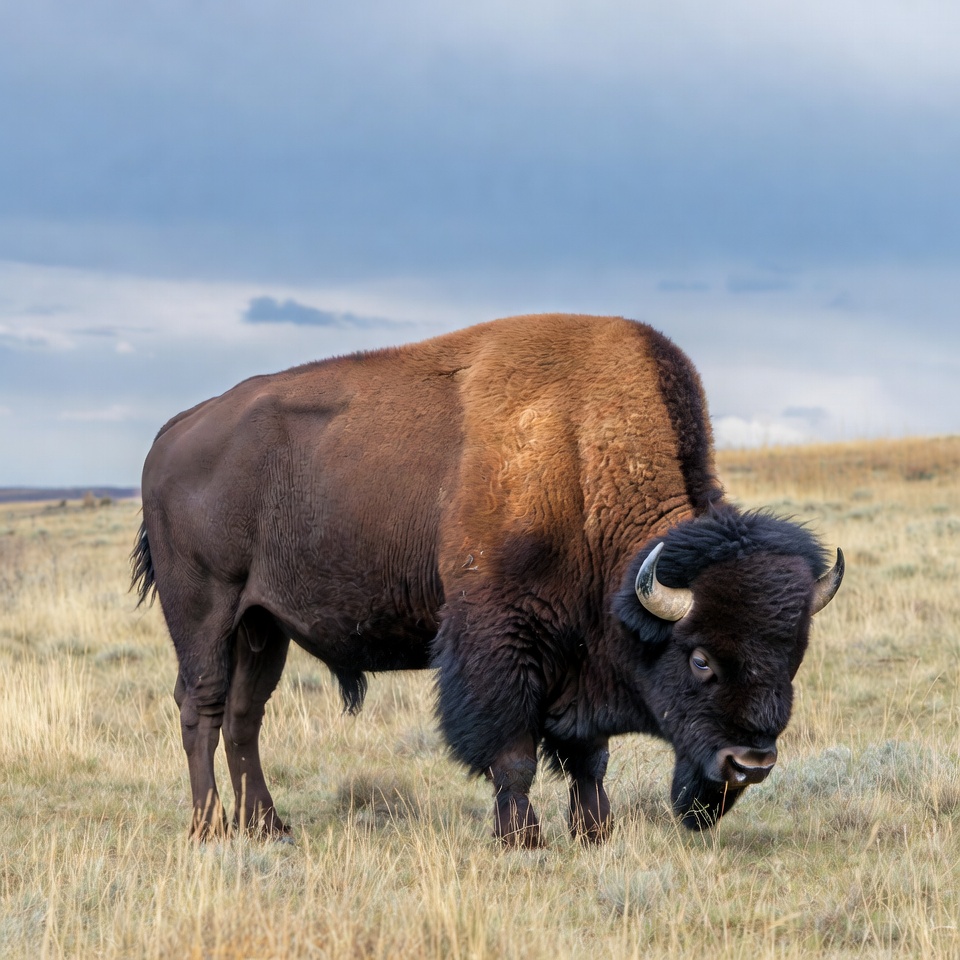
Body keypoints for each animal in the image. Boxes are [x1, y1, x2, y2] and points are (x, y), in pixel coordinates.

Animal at [132, 314, 842, 846]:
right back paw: (209, 828)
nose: (750, 763)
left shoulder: (579, 655)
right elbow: (514, 753)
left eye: (794, 656)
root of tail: (173, 432)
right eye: (700, 660)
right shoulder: (501, 640)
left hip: (263, 627)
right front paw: (521, 838)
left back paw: (268, 826)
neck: (580, 456)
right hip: (205, 613)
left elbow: (590, 757)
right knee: (202, 706)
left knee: (244, 716)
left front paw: (595, 832)